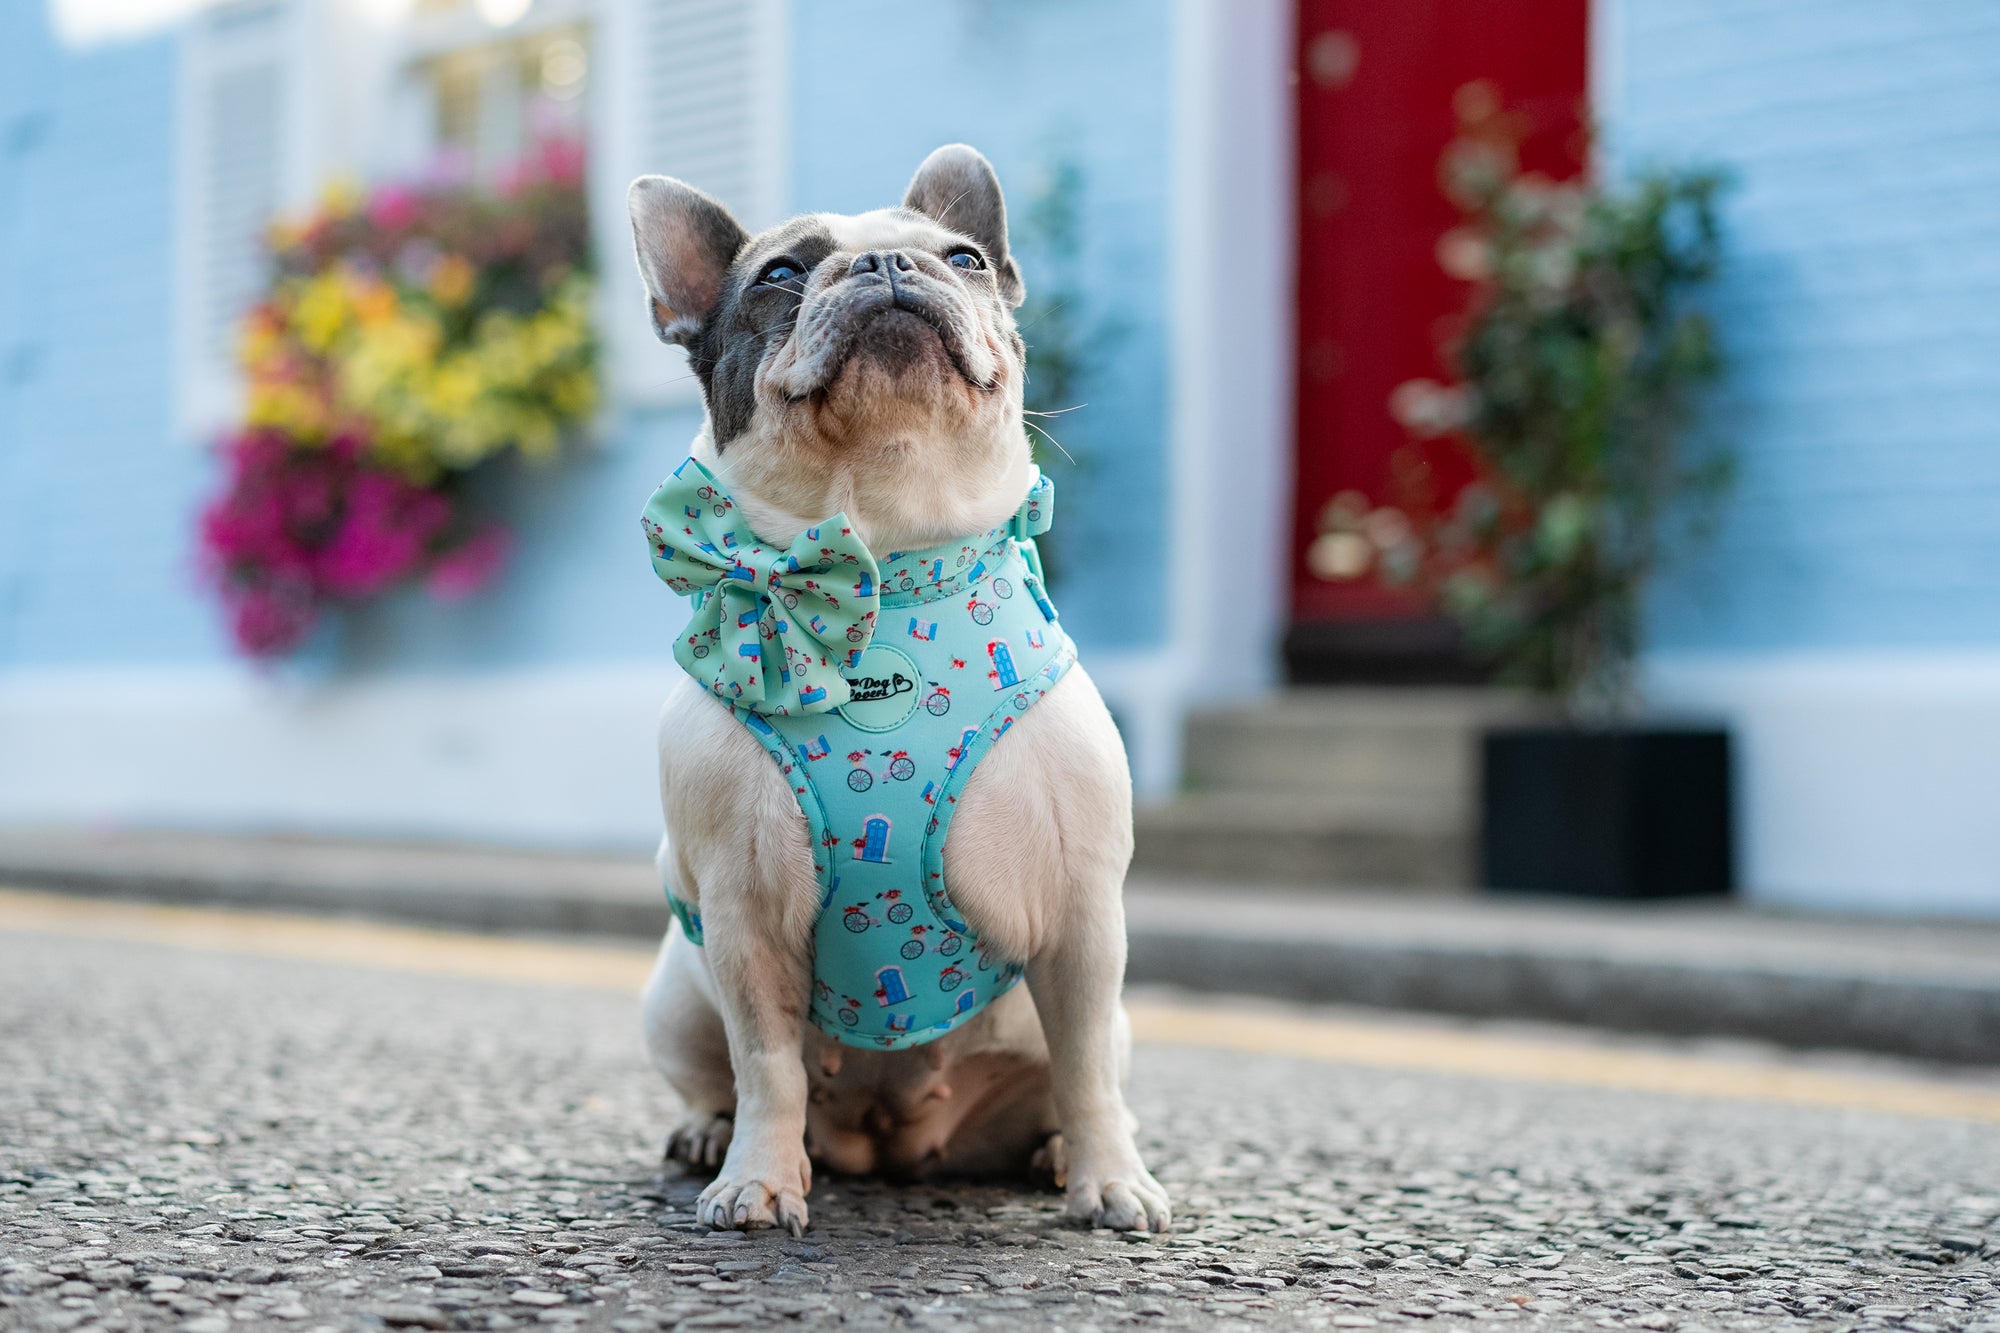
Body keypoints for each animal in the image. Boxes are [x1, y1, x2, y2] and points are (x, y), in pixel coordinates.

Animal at [628, 140, 1168, 1232]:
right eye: (780, 273)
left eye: (964, 258)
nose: (884, 262)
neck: (881, 558)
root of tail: (894, 1144)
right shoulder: (745, 918)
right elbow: (768, 1066)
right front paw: (757, 1179)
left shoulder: (1083, 916)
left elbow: (1088, 1066)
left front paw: (1111, 1180)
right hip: (672, 994)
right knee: (721, 1075)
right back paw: (710, 1135)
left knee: (1077, 1074)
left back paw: (1056, 1150)